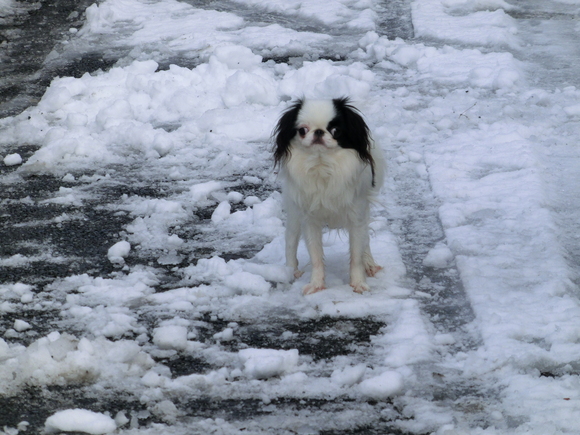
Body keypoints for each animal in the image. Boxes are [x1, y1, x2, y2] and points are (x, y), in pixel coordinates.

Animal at [274, 98, 382, 296]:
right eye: (302, 130)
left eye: (336, 130)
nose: (318, 132)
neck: (322, 164)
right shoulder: (309, 220)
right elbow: (315, 256)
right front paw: (316, 285)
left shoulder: (357, 217)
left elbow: (356, 254)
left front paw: (359, 283)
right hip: (294, 214)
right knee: (291, 240)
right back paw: (291, 271)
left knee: (366, 241)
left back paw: (369, 264)